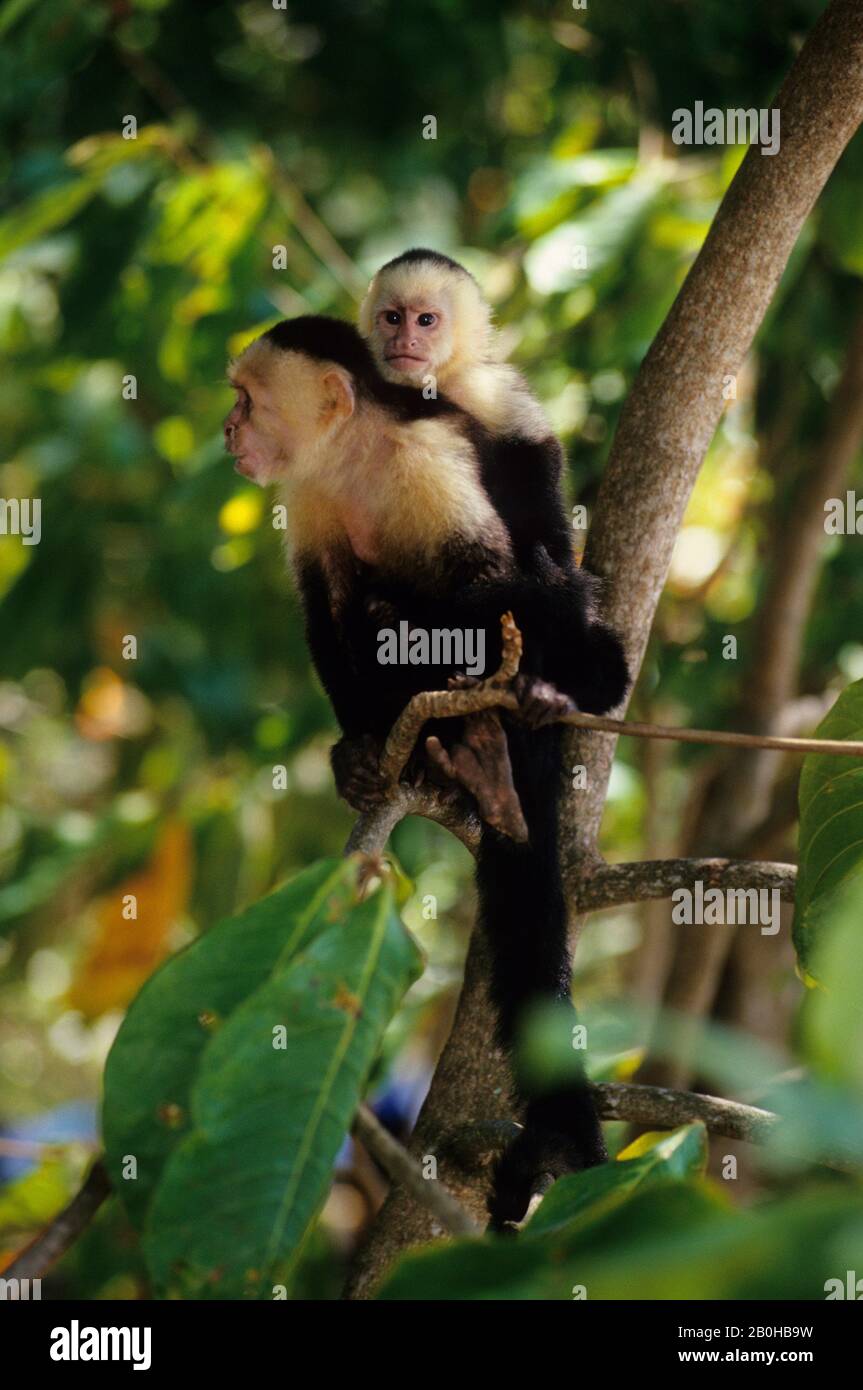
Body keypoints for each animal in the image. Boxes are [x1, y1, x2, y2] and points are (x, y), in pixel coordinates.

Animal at [223, 315, 630, 1228]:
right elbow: (324, 613)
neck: (355, 456)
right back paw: (456, 772)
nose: (227, 430)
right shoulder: (308, 499)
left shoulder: (428, 467)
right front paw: (361, 749)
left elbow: (505, 586)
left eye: (246, 399)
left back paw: (506, 756)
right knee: (363, 604)